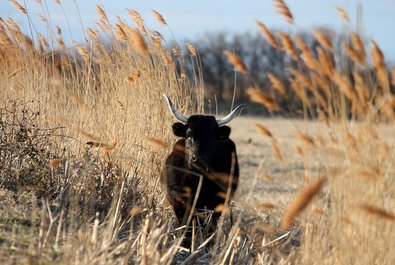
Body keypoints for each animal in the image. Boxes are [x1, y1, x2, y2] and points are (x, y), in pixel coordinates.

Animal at [160, 95, 246, 239]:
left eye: (212, 138)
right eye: (188, 135)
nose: (198, 159)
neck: (197, 180)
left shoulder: (216, 203)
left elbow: (209, 226)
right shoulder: (178, 201)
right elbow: (185, 226)